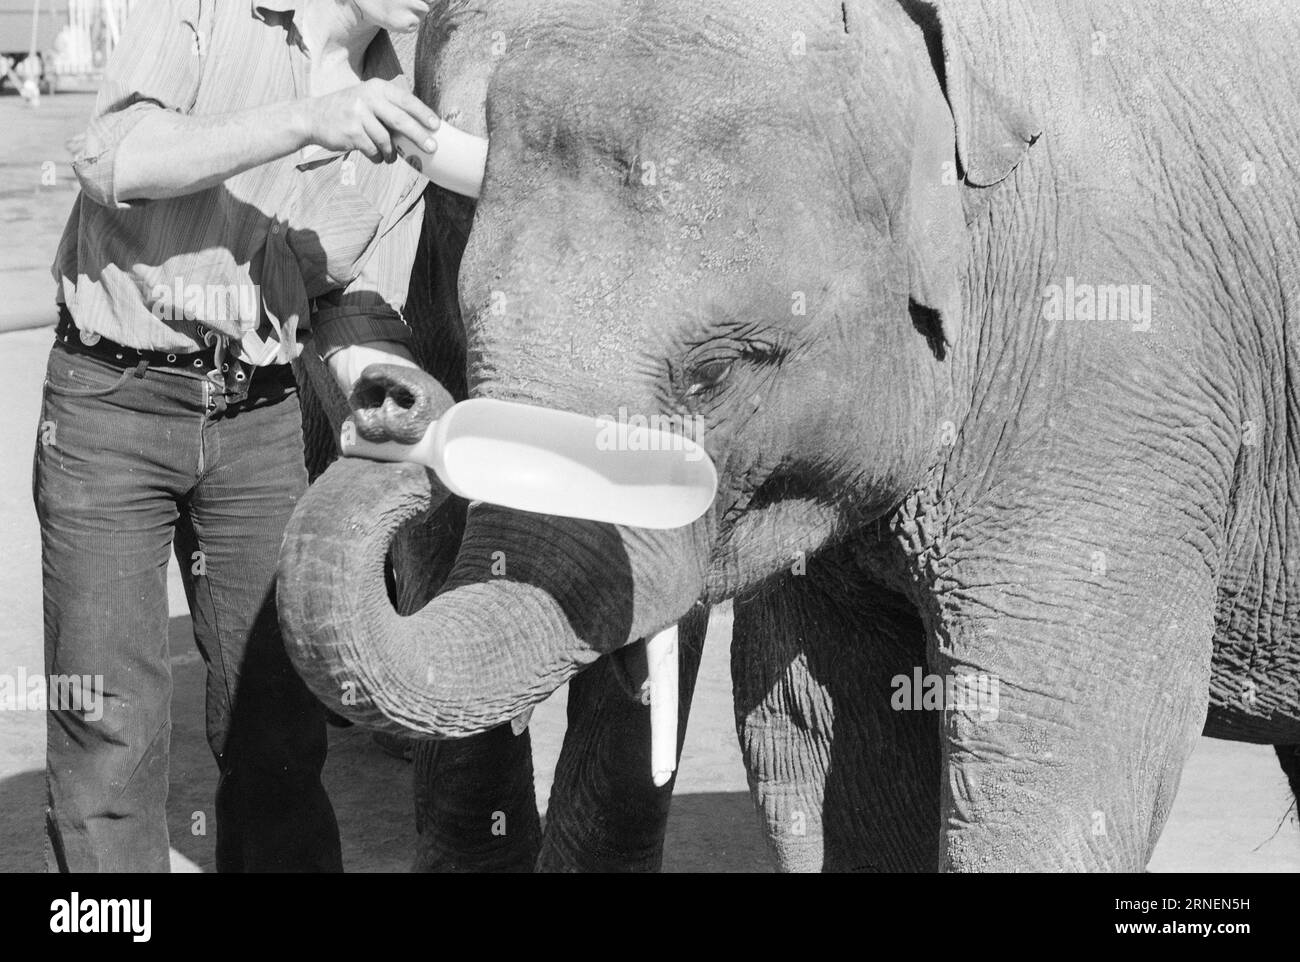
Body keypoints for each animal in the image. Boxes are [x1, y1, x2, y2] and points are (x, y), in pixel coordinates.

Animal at [282, 0, 1300, 873]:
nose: (391, 396)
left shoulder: (1118, 365)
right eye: (464, 324)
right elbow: (817, 734)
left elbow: (1059, 745)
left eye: (720, 371)